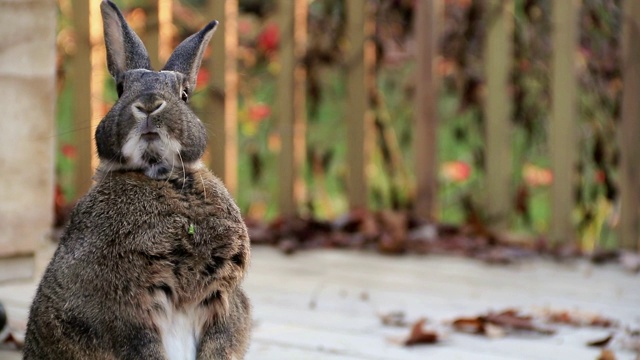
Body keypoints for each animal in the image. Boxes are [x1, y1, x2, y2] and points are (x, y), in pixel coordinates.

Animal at [21, 1, 251, 358]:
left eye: (184, 95)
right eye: (121, 89)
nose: (149, 105)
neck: (160, 175)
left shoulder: (223, 301)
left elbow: (219, 343)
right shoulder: (123, 311)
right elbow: (142, 345)